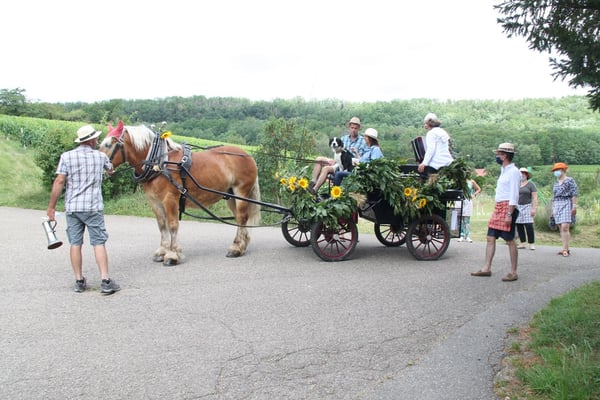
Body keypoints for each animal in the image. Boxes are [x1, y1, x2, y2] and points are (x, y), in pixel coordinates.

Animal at [100, 121, 261, 265]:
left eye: (109, 145)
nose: (100, 166)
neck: (159, 162)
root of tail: (247, 155)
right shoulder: (155, 201)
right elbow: (162, 225)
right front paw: (162, 251)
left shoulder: (170, 199)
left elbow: (172, 225)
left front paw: (172, 255)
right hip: (231, 196)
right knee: (240, 219)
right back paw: (242, 245)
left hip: (241, 192)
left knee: (242, 217)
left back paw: (236, 248)